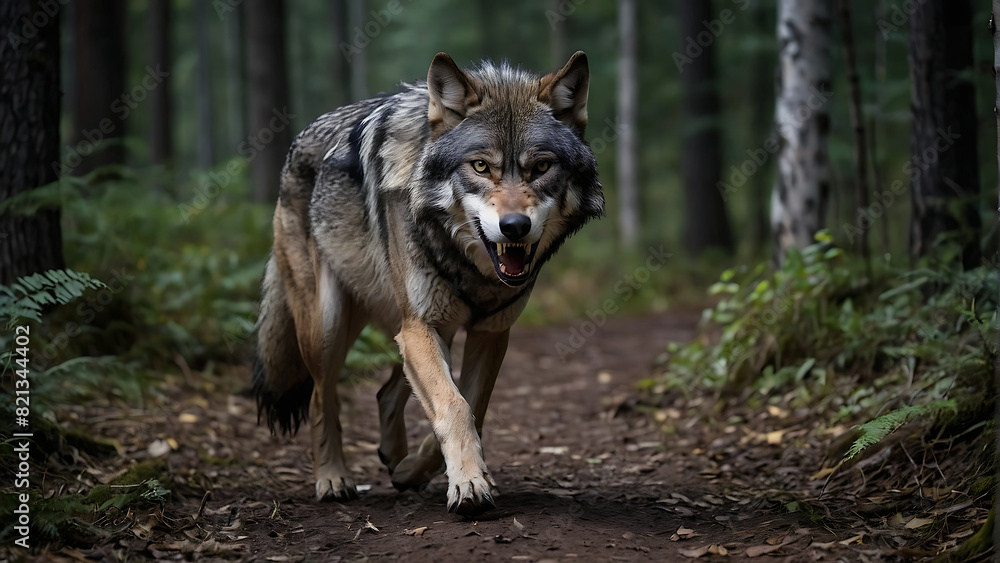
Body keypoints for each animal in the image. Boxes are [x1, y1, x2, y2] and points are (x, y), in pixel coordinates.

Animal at [253, 51, 603, 517]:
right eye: (480, 166)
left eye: (541, 167)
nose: (514, 227)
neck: (469, 266)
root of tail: (297, 142)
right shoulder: (420, 325)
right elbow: (454, 406)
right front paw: (469, 485)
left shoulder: (490, 331)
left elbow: (472, 405)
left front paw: (428, 471)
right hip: (329, 327)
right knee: (320, 398)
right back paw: (332, 478)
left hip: (429, 328)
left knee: (386, 392)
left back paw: (397, 463)